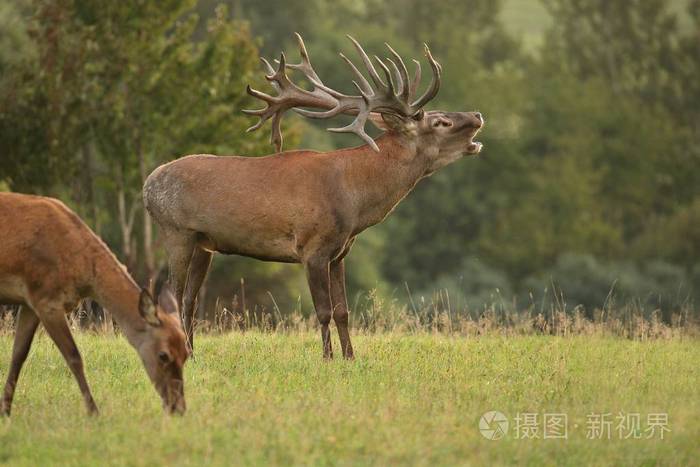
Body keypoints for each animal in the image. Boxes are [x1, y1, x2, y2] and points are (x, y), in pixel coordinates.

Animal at [0, 194, 190, 416]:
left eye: (186, 353)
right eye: (163, 355)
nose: (178, 407)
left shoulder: (31, 302)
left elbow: (18, 355)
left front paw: (6, 411)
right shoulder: (46, 299)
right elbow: (74, 356)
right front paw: (93, 411)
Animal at [142, 34, 482, 360]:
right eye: (440, 122)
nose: (478, 114)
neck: (353, 197)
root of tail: (147, 184)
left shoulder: (339, 252)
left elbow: (344, 311)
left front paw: (350, 358)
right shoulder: (312, 246)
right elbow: (323, 311)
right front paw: (328, 358)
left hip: (204, 242)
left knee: (189, 299)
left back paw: (192, 353)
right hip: (177, 231)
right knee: (173, 294)